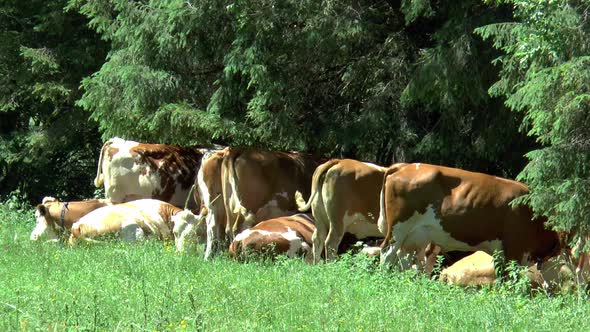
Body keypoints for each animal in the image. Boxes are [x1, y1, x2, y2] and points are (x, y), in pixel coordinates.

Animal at [376, 163, 560, 270]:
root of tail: (403, 166)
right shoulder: (514, 249)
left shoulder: (501, 252)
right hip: (398, 229)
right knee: (386, 252)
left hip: (414, 236)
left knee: (404, 260)